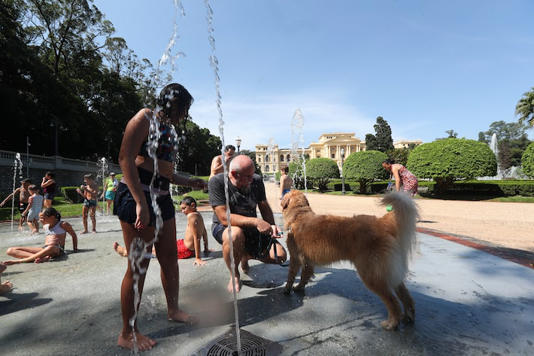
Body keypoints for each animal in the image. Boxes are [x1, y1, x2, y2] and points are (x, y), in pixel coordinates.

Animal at [282, 191, 420, 330]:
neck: (299, 215)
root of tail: (382, 222)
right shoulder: (308, 262)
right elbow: (304, 277)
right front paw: (299, 287)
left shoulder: (295, 258)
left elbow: (291, 276)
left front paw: (287, 290)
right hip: (389, 273)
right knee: (406, 296)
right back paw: (409, 317)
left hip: (371, 275)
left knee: (393, 302)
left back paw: (392, 323)